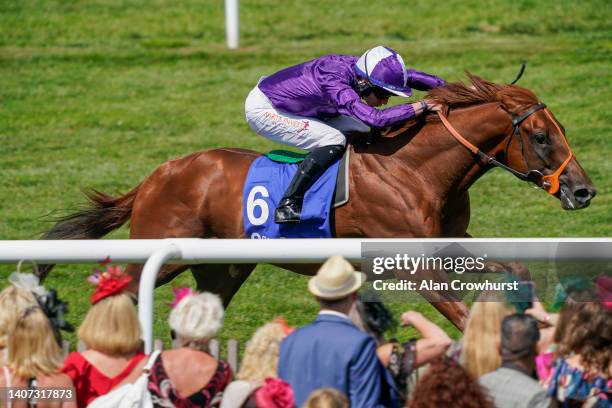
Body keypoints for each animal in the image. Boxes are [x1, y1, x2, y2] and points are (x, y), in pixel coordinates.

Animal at [38, 75, 592, 330]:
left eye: (561, 129)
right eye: (541, 137)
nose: (584, 190)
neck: (414, 168)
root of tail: (159, 174)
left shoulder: (447, 242)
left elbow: (514, 266)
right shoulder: (408, 261)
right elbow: (459, 312)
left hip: (222, 268)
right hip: (162, 248)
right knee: (120, 293)